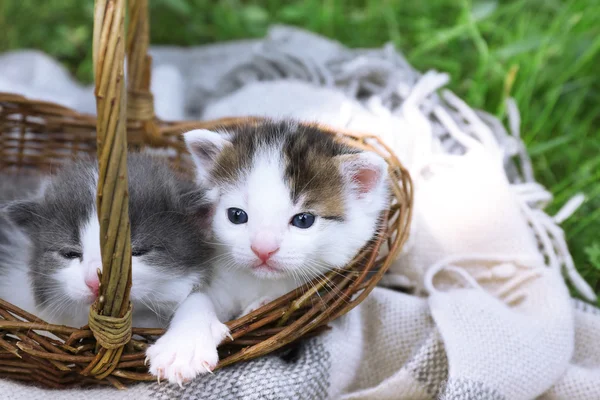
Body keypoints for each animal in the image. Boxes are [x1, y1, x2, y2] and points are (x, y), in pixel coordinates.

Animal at [145, 119, 390, 384]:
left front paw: (263, 303)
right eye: (236, 215)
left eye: (303, 220)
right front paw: (182, 346)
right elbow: (196, 297)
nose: (263, 250)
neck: (258, 281)